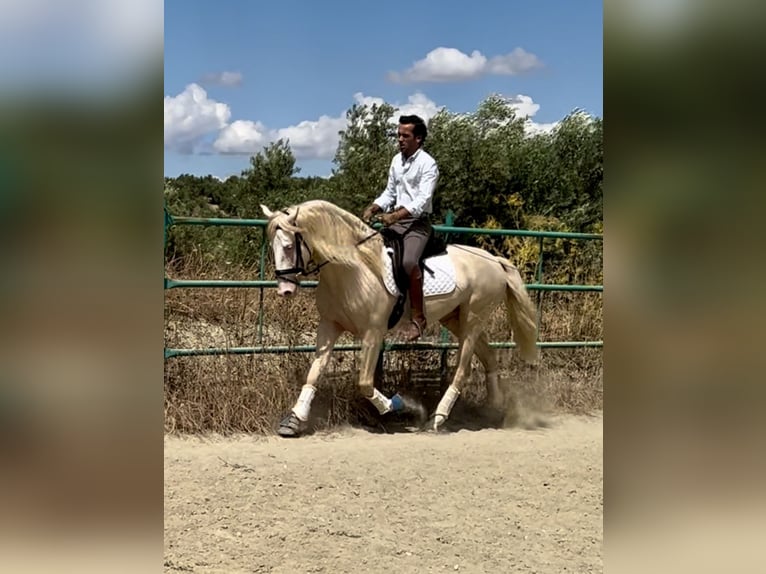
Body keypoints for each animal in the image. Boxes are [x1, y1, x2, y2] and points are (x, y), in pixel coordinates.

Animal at [260, 200, 536, 438]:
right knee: (489, 356)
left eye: (288, 246)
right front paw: (293, 421)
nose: (285, 290)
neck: (353, 270)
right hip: (455, 318)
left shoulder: (373, 333)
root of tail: (495, 261)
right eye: (272, 246)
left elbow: (364, 382)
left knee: (463, 369)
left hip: (473, 318)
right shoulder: (329, 325)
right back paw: (494, 408)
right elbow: (314, 373)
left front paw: (400, 405)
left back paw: (437, 418)